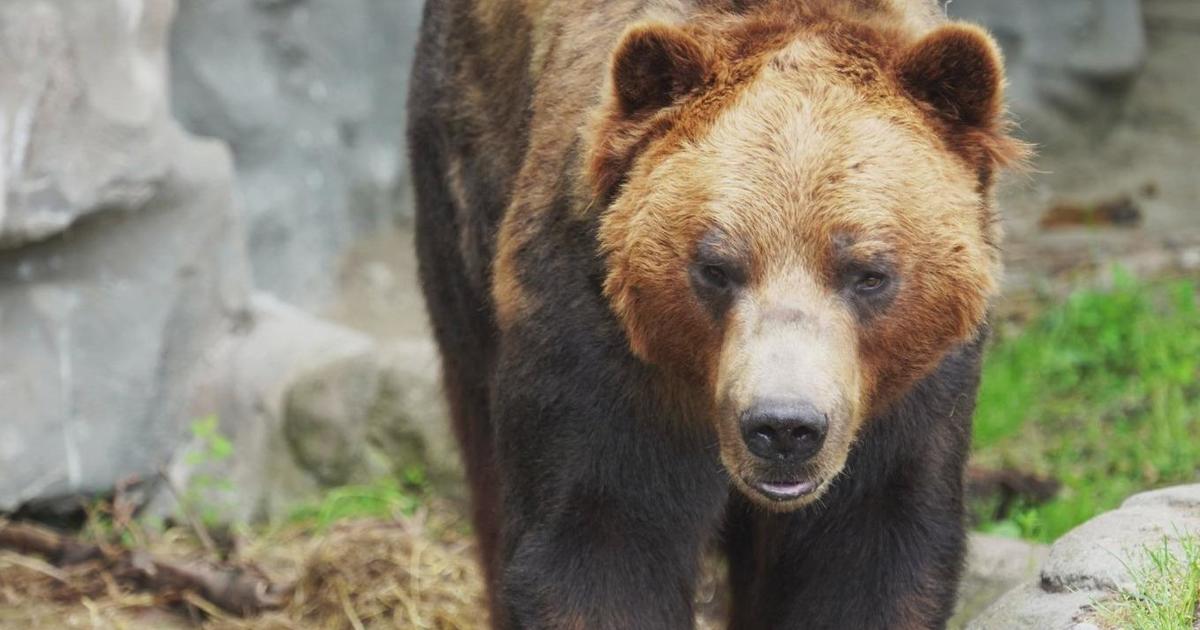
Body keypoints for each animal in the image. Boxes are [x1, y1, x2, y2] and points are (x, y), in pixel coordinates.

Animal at [410, 0, 1022, 624]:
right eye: (716, 267)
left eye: (869, 273)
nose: (784, 427)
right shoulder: (598, 346)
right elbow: (598, 537)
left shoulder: (909, 395)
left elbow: (869, 550)